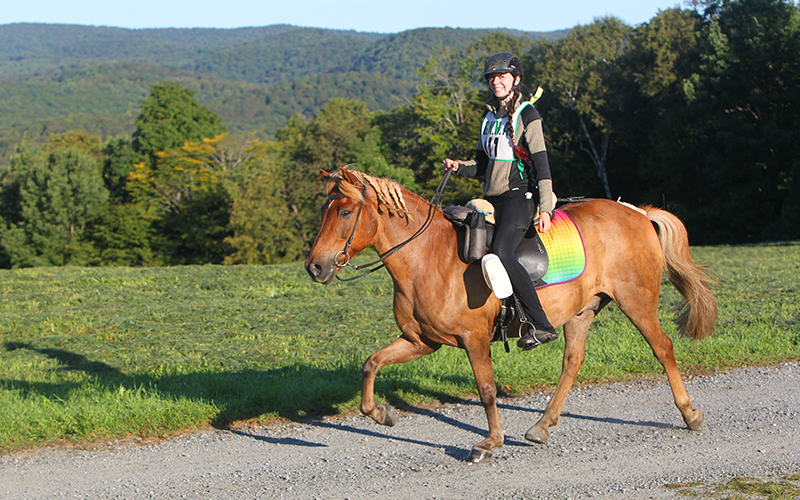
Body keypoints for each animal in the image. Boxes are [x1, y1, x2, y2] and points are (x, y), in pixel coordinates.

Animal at [306, 169, 720, 464]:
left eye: (345, 212)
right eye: (325, 210)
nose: (315, 266)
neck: (427, 256)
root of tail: (637, 212)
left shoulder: (473, 339)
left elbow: (487, 390)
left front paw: (490, 442)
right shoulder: (420, 341)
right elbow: (371, 364)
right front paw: (380, 414)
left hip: (637, 301)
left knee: (663, 348)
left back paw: (690, 413)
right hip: (583, 310)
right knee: (573, 361)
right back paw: (542, 425)